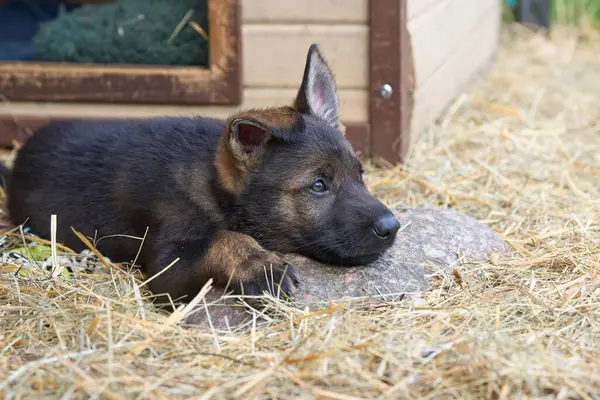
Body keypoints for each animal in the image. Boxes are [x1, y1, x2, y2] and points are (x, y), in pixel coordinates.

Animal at [2, 44, 404, 304]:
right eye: (319, 185)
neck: (213, 184)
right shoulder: (166, 265)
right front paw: (258, 263)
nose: (392, 227)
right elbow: (222, 238)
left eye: (361, 174)